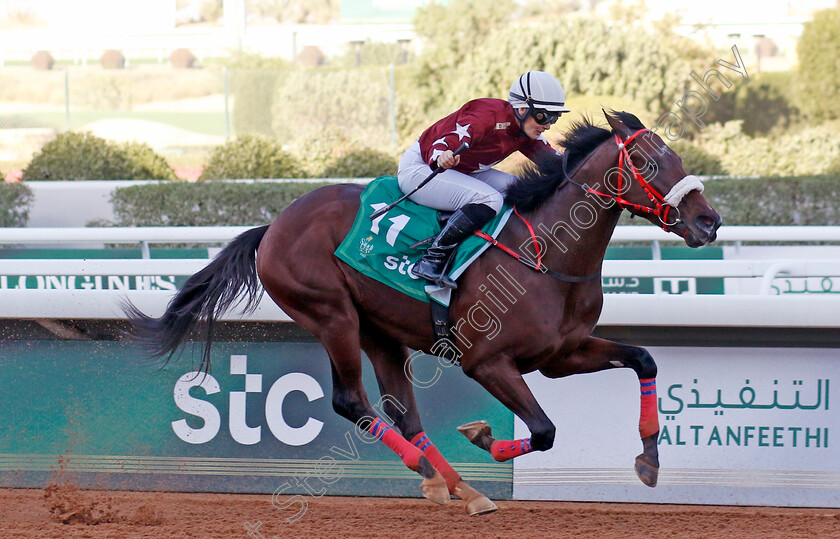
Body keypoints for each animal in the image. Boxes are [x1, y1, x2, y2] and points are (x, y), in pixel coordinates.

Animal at [124, 108, 720, 516]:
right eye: (645, 161)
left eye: (678, 157)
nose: (708, 221)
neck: (546, 254)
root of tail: (273, 226)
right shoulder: (488, 362)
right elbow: (545, 430)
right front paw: (482, 434)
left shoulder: (561, 354)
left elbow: (643, 359)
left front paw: (649, 460)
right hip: (332, 315)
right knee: (351, 400)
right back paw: (429, 471)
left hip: (380, 332)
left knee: (402, 411)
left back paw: (458, 486)